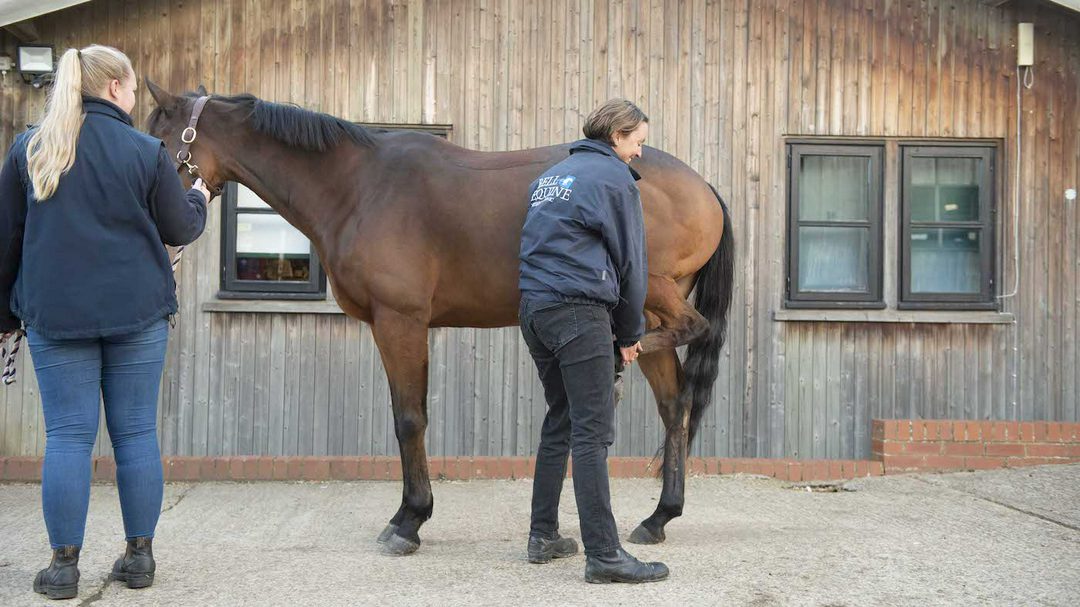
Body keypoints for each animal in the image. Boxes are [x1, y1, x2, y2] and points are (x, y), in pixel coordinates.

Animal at [146, 82, 735, 555]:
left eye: (160, 139)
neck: (358, 187)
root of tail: (701, 185)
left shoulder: (400, 321)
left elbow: (410, 419)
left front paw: (409, 521)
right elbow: (403, 415)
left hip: (651, 289)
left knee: (689, 332)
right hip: (643, 304)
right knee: (674, 404)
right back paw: (659, 517)